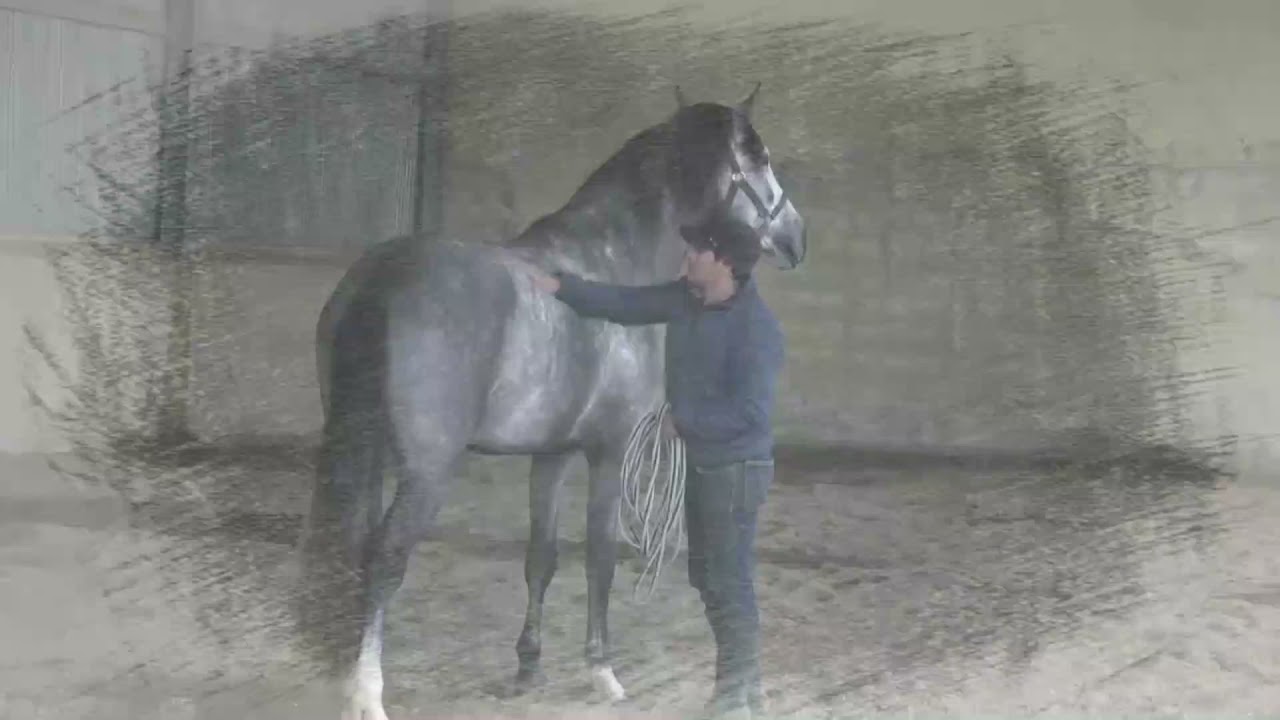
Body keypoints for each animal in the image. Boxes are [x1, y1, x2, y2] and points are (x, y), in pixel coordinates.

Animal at [297, 83, 808, 720]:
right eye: (760, 161)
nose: (796, 237)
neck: (609, 258)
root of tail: (383, 278)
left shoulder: (553, 452)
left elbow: (540, 557)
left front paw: (528, 667)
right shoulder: (610, 449)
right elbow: (599, 557)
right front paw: (604, 675)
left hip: (363, 453)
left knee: (354, 547)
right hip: (426, 471)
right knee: (384, 557)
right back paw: (366, 694)